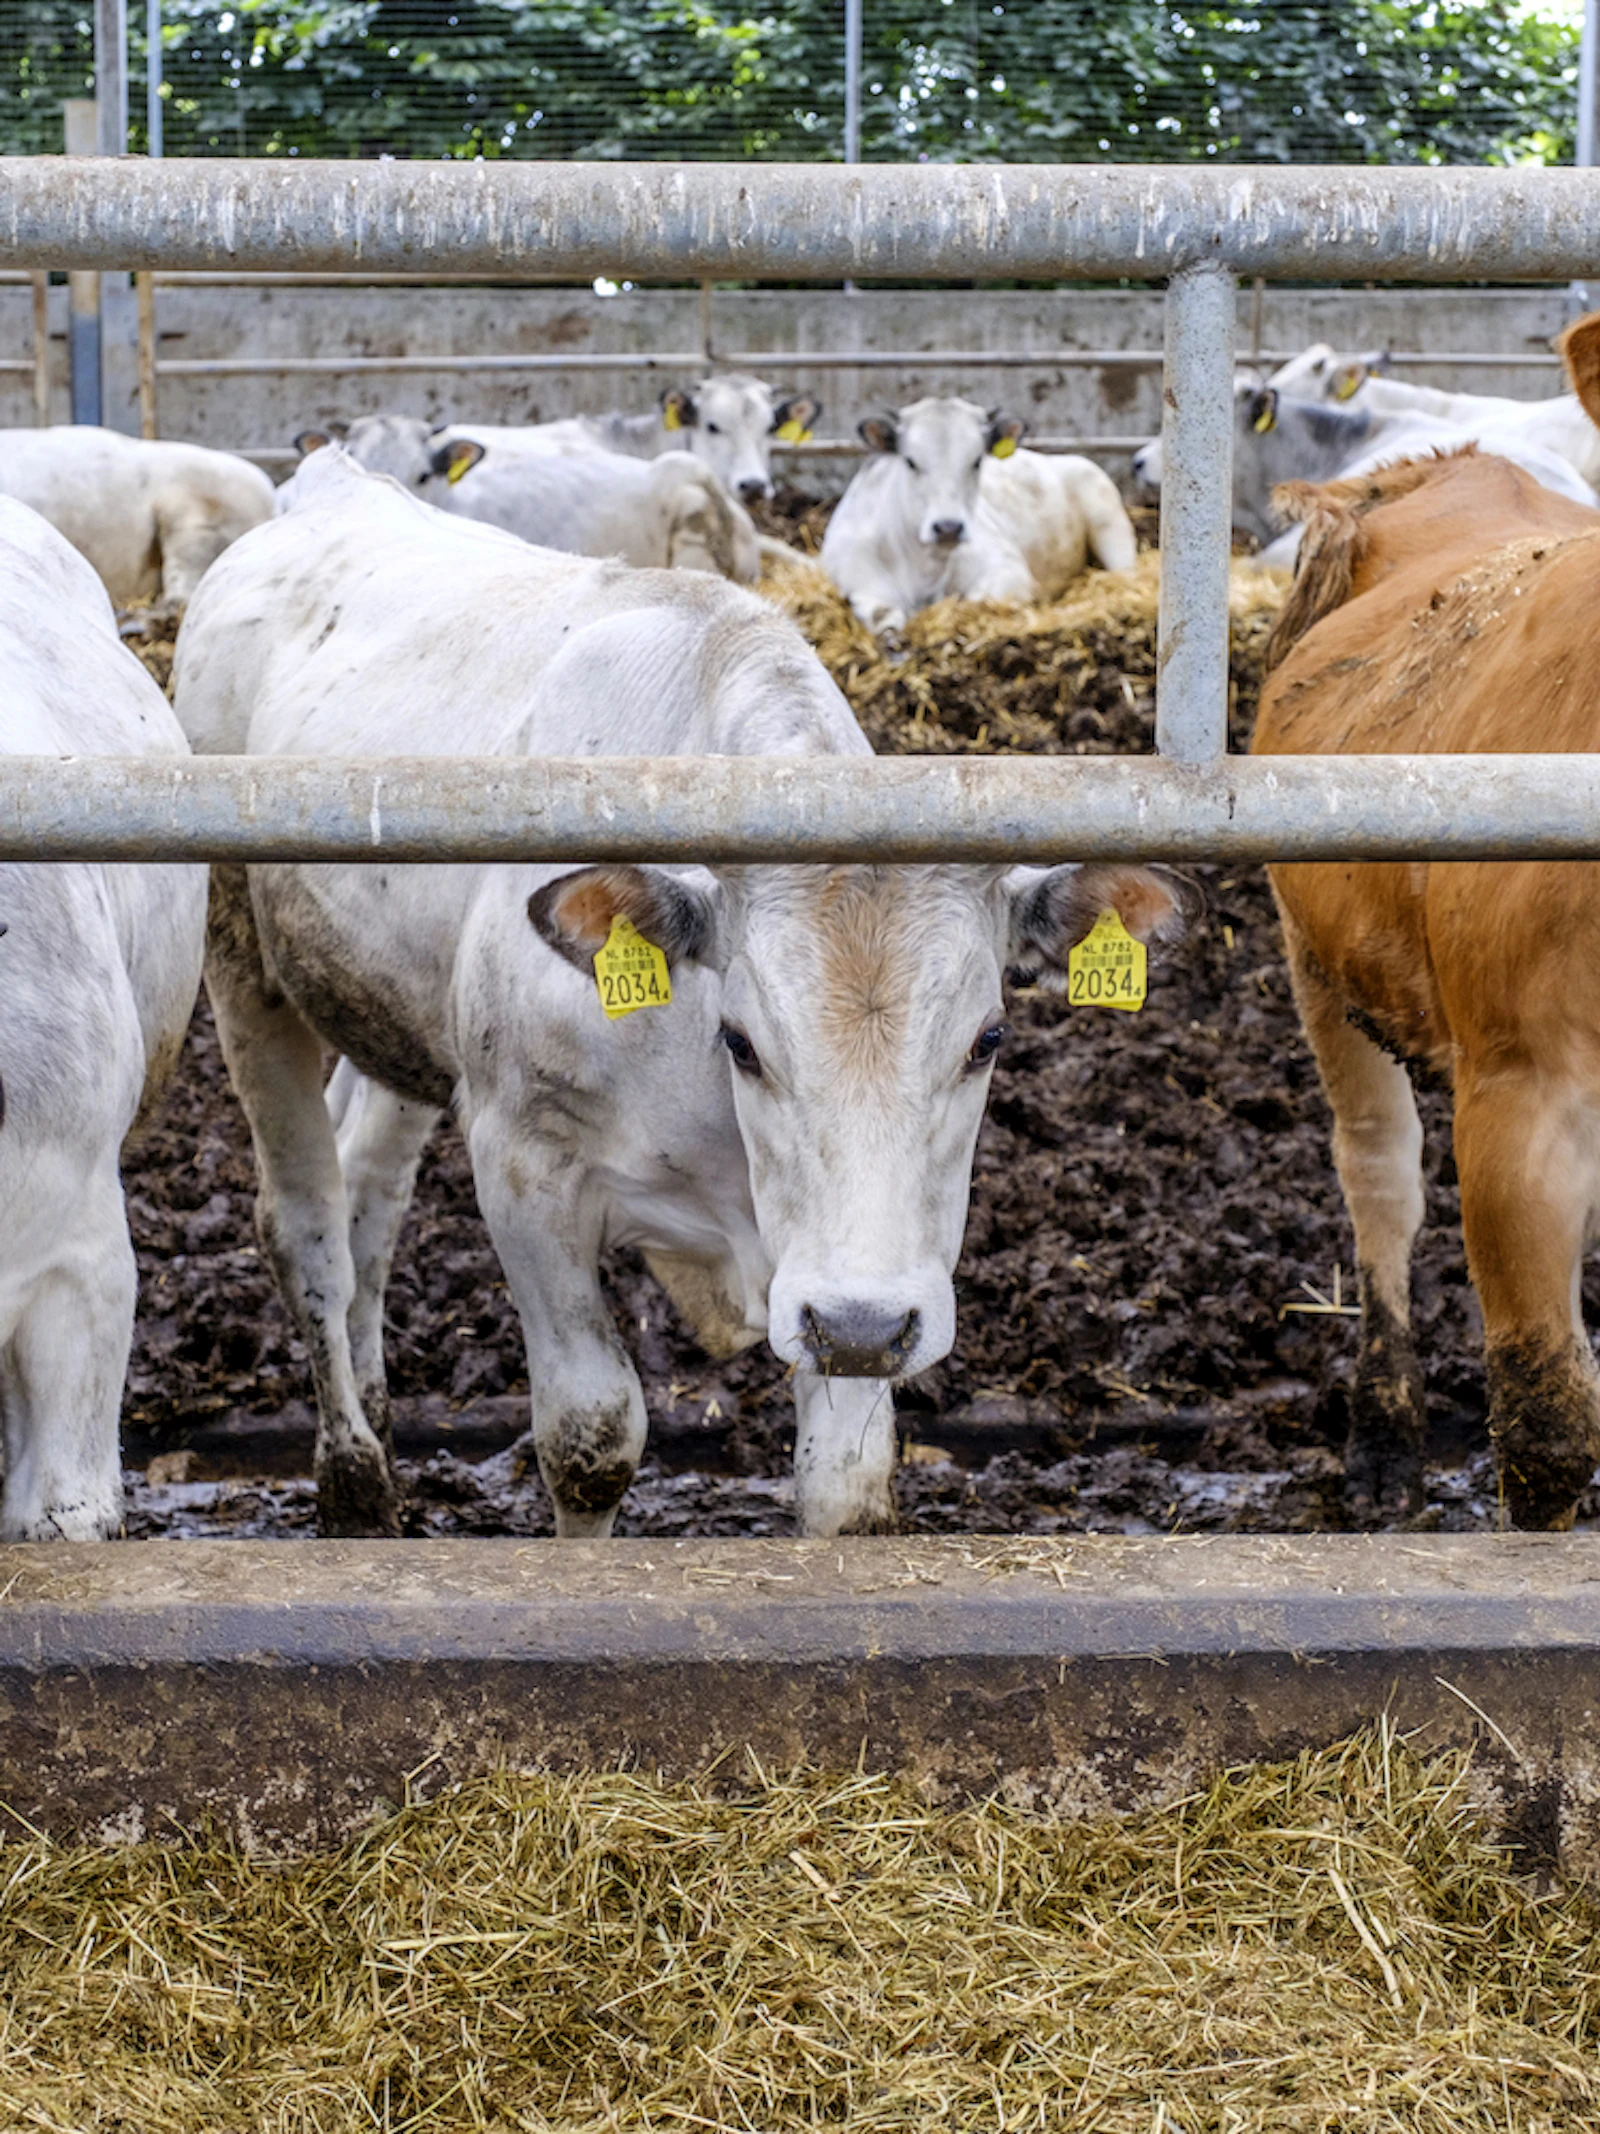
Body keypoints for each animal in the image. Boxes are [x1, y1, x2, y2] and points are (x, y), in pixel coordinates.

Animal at [172, 446, 1195, 1540]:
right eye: (740, 1040)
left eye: (988, 1039)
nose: (863, 1322)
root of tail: (333, 479)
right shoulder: (524, 1168)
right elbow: (589, 1440)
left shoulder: (831, 1279)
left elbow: (846, 1484)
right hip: (241, 965)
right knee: (308, 1224)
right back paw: (355, 1483)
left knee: (369, 1194)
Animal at [820, 397, 1138, 635]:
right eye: (910, 461)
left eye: (976, 461)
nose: (948, 527)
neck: (927, 567)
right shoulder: (860, 581)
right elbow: (884, 617)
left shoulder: (1009, 570)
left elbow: (973, 602)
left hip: (1109, 521)